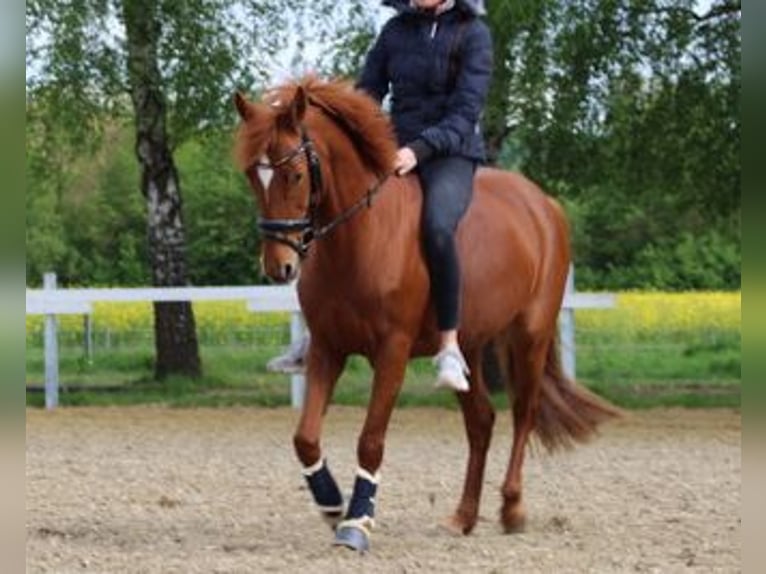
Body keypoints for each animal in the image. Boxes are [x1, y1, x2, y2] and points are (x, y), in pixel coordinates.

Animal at [232, 76, 616, 552]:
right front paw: (332, 505)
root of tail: (544, 205)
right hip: (469, 344)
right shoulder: (327, 349)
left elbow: (371, 440)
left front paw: (357, 522)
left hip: (530, 335)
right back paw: (462, 517)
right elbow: (305, 438)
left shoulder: (392, 352)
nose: (279, 266)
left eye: (296, 174)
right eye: (253, 175)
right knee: (481, 421)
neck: (360, 240)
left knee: (522, 413)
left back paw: (512, 508)